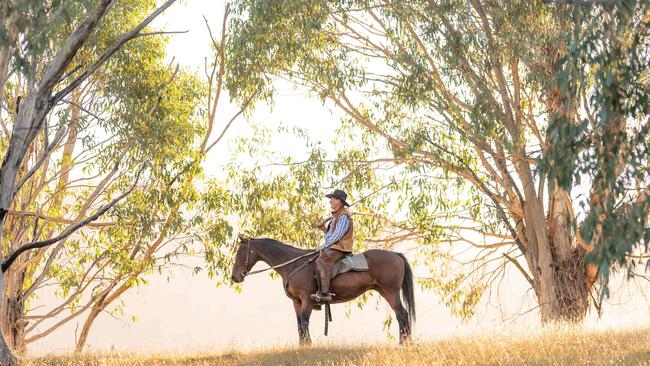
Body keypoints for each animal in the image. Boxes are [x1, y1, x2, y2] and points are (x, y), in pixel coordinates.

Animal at [228, 234, 416, 346]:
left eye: (240, 253)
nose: (234, 277)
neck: (294, 264)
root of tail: (396, 255)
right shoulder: (297, 302)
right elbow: (299, 324)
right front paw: (301, 346)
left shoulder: (307, 300)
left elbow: (304, 322)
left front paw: (308, 345)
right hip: (384, 291)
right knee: (401, 315)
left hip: (391, 292)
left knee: (402, 314)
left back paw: (403, 343)